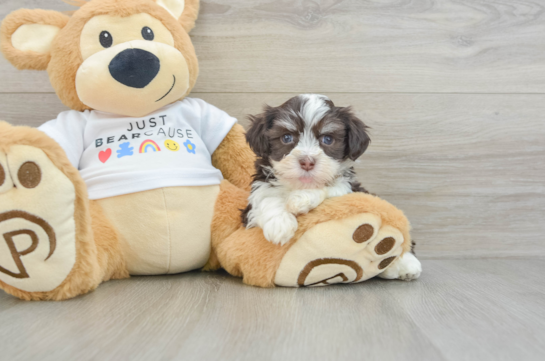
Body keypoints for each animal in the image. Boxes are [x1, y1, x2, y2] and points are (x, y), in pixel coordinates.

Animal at [241, 93, 370, 245]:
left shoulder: (352, 188)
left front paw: (301, 198)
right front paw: (279, 224)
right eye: (287, 137)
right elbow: (266, 196)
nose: (307, 162)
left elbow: (334, 186)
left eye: (327, 139)